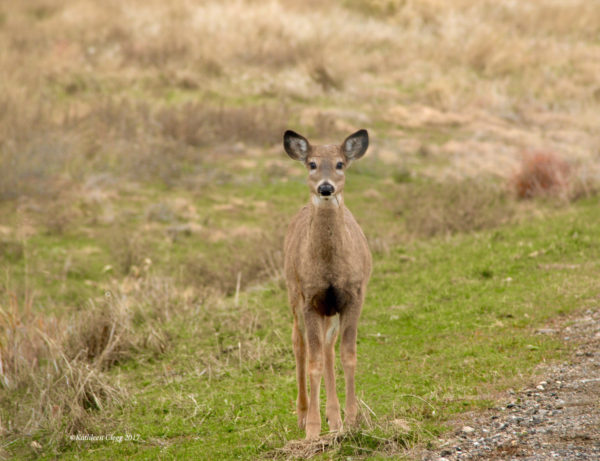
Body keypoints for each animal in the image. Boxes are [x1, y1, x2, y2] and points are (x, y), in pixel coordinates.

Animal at [284, 128, 372, 438]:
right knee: (300, 344)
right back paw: (302, 414)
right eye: (311, 164)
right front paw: (312, 429)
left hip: (330, 310)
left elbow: (348, 355)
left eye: (339, 164)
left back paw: (334, 419)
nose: (325, 188)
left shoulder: (354, 295)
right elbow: (313, 362)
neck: (330, 270)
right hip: (293, 294)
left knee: (327, 348)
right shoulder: (309, 298)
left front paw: (352, 419)